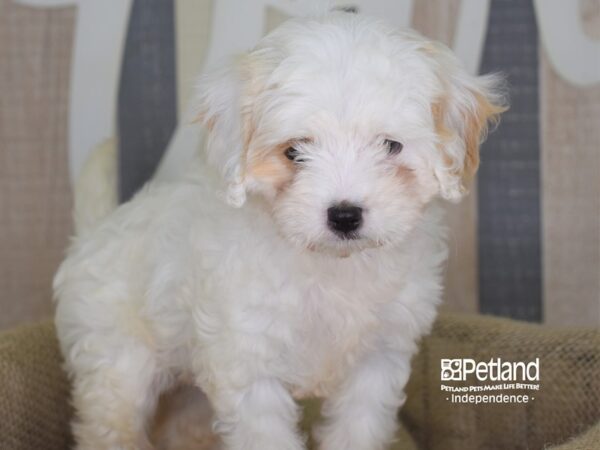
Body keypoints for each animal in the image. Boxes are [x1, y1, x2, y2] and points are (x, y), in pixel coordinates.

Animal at [55, 11, 506, 450]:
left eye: (390, 146)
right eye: (294, 151)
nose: (344, 216)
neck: (332, 266)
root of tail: (94, 233)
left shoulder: (377, 360)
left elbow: (358, 428)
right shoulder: (248, 362)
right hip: (116, 362)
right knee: (110, 423)